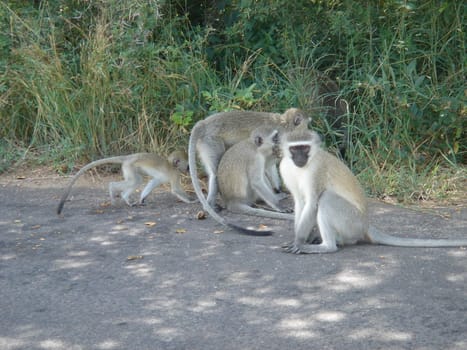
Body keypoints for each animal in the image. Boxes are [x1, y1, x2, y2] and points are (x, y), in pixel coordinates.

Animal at [56, 150, 196, 215]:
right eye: (187, 165)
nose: (188, 169)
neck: (172, 165)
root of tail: (129, 157)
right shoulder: (175, 175)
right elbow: (176, 190)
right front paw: (192, 201)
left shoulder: (162, 177)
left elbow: (153, 182)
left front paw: (142, 199)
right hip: (129, 166)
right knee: (135, 180)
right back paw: (117, 192)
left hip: (129, 167)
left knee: (137, 180)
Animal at [280, 127, 467, 253]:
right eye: (294, 149)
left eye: (304, 148)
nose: (300, 158)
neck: (301, 166)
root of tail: (366, 225)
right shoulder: (285, 168)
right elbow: (300, 203)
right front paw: (301, 237)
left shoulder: (317, 170)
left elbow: (312, 203)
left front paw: (299, 242)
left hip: (352, 222)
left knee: (326, 198)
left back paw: (327, 246)